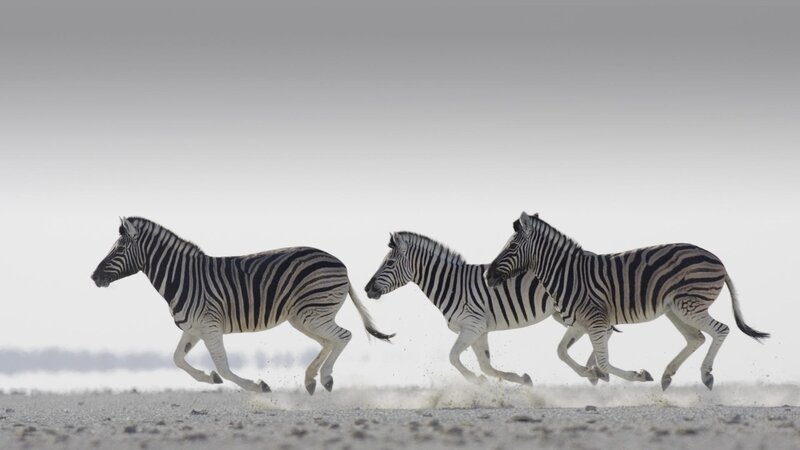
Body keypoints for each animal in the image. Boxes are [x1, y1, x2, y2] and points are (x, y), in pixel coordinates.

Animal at [91, 217, 393, 394]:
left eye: (119, 249)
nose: (94, 277)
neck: (183, 277)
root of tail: (339, 262)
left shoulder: (210, 326)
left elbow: (224, 367)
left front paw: (257, 386)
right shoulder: (194, 329)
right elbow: (177, 359)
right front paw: (209, 378)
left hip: (312, 313)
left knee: (343, 336)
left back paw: (326, 378)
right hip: (303, 316)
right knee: (329, 341)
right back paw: (310, 379)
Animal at [364, 231, 611, 386]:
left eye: (389, 263)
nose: (367, 288)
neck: (451, 284)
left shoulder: (472, 326)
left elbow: (453, 357)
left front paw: (476, 381)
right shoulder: (479, 331)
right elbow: (486, 366)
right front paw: (521, 379)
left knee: (602, 331)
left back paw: (594, 370)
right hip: (562, 313)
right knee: (603, 331)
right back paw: (595, 370)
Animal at [485, 212, 769, 390]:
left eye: (511, 247)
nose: (488, 276)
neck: (567, 274)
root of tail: (717, 258)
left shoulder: (596, 319)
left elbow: (602, 361)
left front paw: (633, 375)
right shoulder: (580, 322)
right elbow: (562, 352)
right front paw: (591, 374)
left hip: (689, 305)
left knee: (721, 330)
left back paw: (706, 374)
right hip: (675, 310)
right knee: (696, 338)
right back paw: (667, 376)